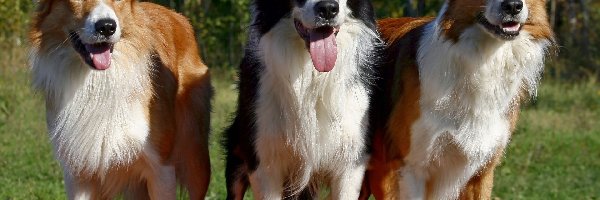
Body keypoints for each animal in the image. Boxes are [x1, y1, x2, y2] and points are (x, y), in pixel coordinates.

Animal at [30, 0, 214, 198]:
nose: (106, 27)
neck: (99, 84)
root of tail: (178, 16)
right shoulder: (77, 174)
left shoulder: (161, 169)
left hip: (195, 158)